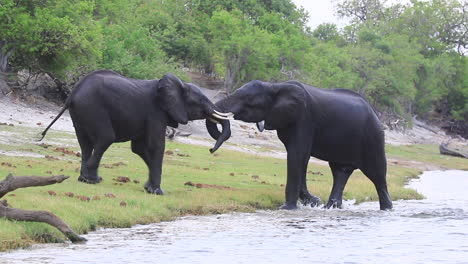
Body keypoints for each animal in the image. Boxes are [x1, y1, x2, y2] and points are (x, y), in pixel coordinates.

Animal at [40, 69, 230, 194]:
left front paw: (148, 188)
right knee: (105, 138)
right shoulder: (155, 112)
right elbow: (155, 146)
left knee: (85, 143)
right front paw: (157, 192)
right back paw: (91, 180)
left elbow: (138, 148)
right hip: (92, 107)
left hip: (80, 112)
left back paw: (85, 179)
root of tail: (72, 93)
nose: (211, 149)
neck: (178, 85)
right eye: (201, 101)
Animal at [207, 80, 394, 210]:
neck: (275, 86)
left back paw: (387, 209)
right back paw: (330, 207)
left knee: (377, 174)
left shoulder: (304, 118)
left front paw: (287, 208)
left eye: (249, 102)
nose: (211, 149)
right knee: (340, 171)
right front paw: (314, 201)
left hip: (373, 136)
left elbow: (297, 154)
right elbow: (300, 157)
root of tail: (376, 114)